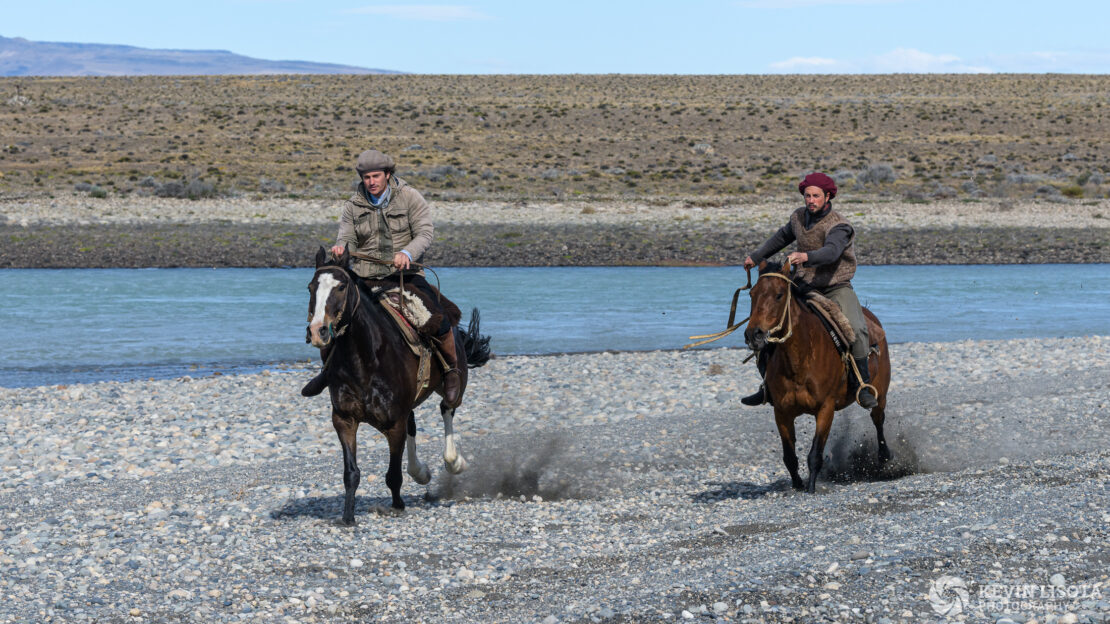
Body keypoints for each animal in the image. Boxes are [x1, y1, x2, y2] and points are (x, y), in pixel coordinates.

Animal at [306, 245, 492, 521]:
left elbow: (393, 473)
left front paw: (396, 506)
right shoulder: (344, 420)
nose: (318, 331)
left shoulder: (394, 423)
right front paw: (348, 518)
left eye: (341, 287)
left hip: (453, 386)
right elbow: (351, 473)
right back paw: (421, 472)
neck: (365, 359)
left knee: (447, 409)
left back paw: (454, 462)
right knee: (413, 423)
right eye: (310, 287)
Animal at [745, 257, 892, 490]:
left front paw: (811, 488)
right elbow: (789, 457)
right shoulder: (782, 412)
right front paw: (797, 485)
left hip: (881, 392)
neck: (799, 360)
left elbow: (815, 454)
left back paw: (885, 456)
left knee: (878, 419)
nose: (753, 334)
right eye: (752, 294)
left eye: (779, 294)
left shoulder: (825, 408)